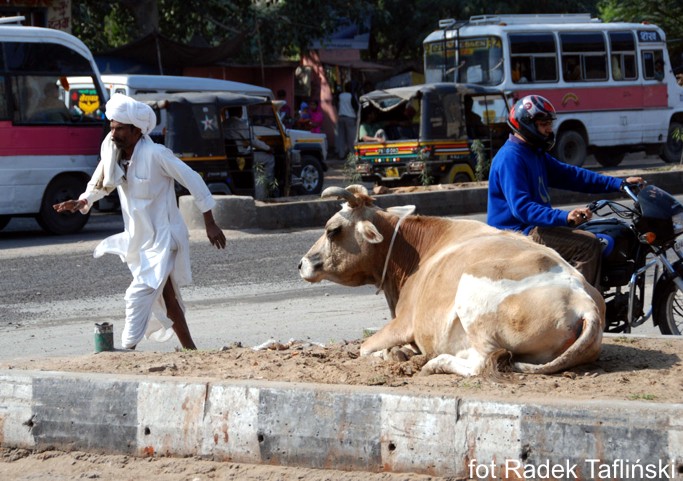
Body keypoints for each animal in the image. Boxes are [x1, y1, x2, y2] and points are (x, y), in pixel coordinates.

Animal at [296, 184, 608, 376]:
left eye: (332, 230)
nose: (301, 264)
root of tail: (584, 302)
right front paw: (403, 351)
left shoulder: (404, 321)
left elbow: (364, 348)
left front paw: (395, 353)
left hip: (472, 296)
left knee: (482, 362)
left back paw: (435, 362)